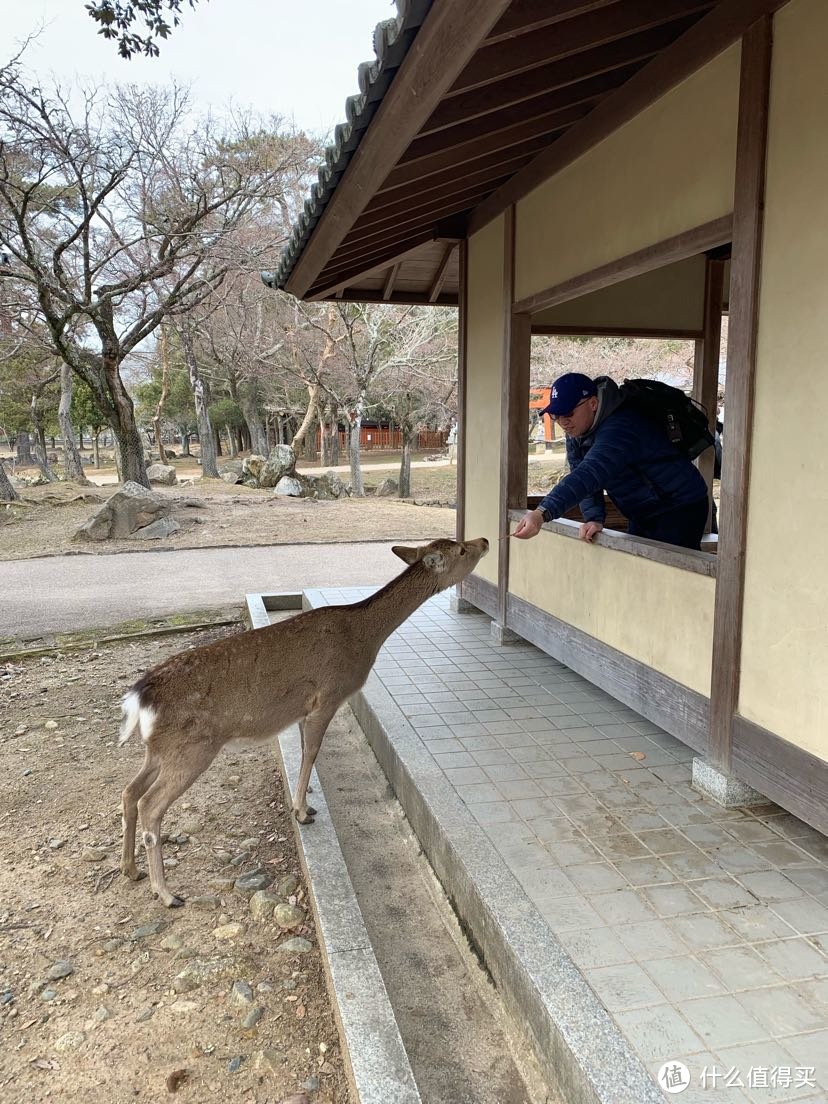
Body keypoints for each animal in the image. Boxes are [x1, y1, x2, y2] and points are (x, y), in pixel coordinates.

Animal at [119, 534, 490, 905]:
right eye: (461, 550)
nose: (484, 540)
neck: (364, 637)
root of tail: (139, 697)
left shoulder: (302, 709)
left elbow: (303, 752)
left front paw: (307, 803)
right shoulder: (328, 698)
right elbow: (312, 752)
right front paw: (301, 812)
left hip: (159, 748)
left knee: (129, 791)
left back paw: (130, 869)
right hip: (192, 748)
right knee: (150, 804)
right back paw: (167, 893)